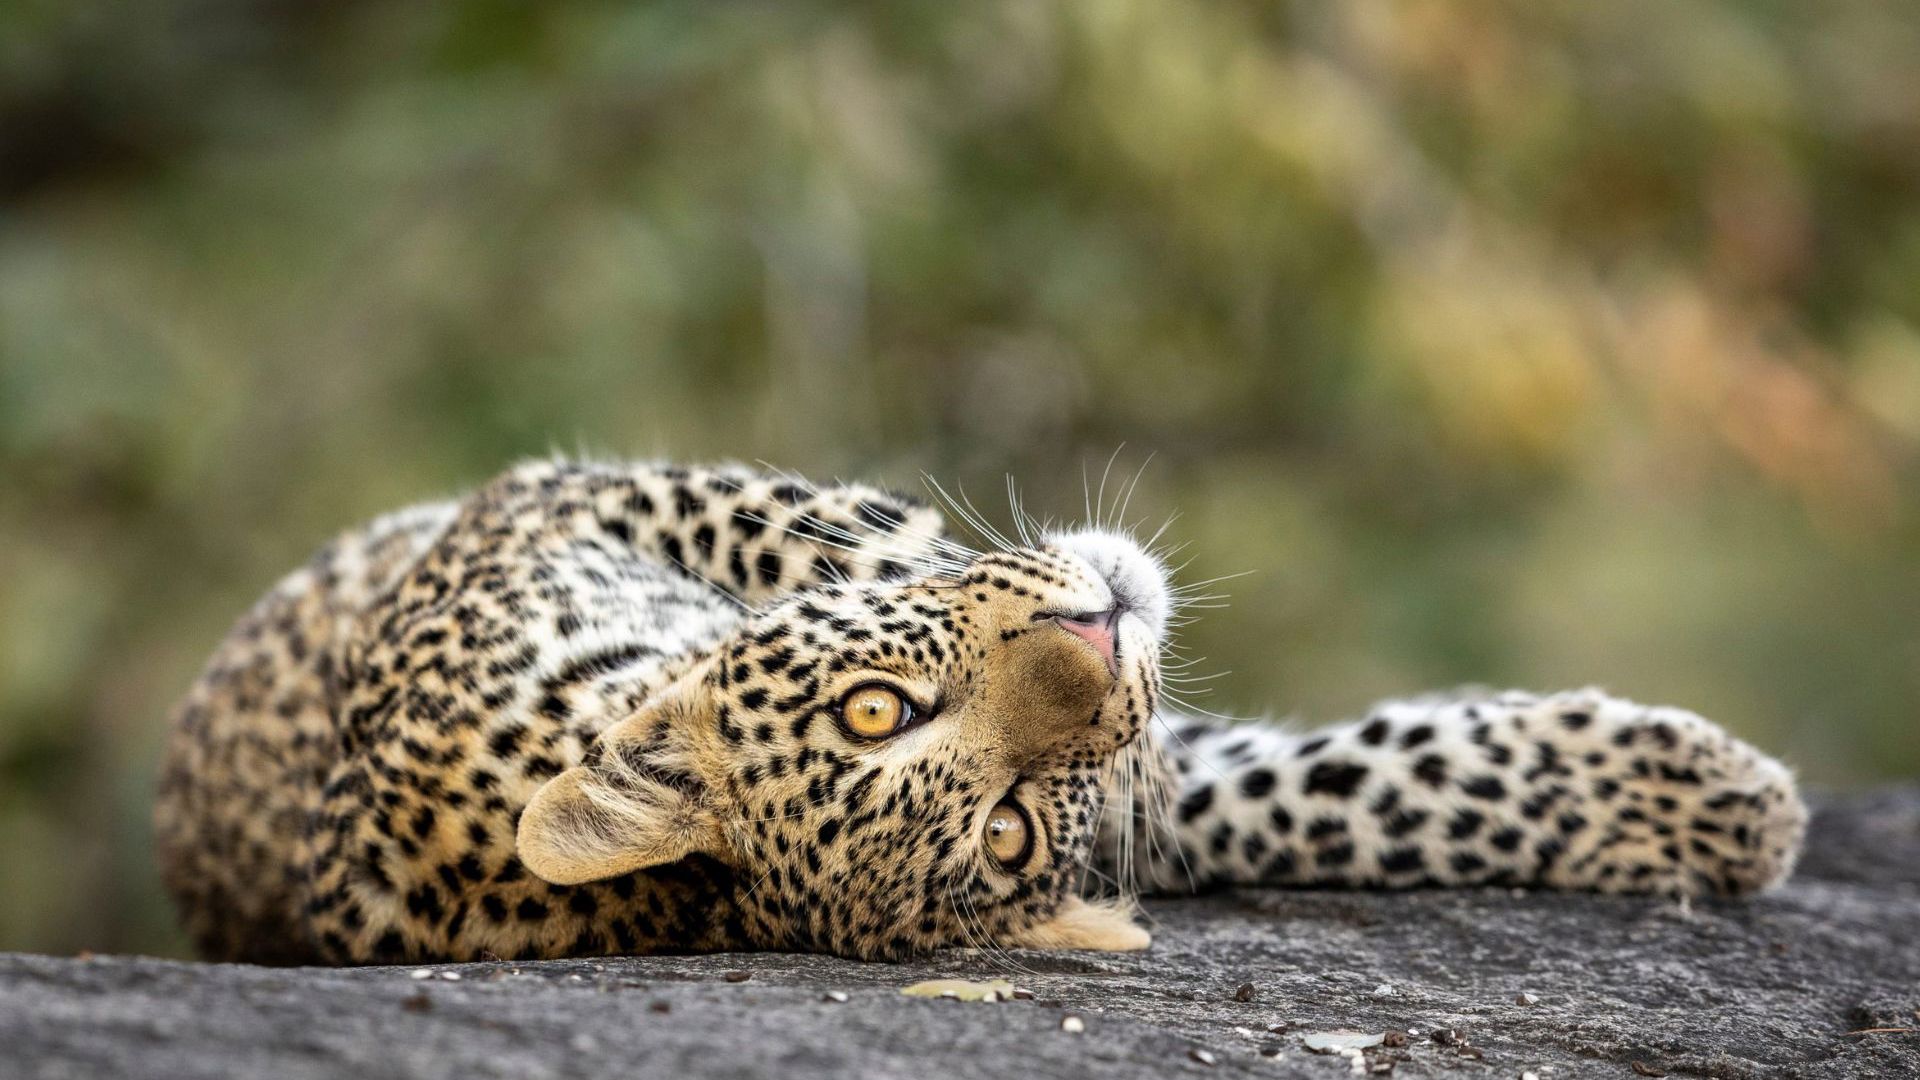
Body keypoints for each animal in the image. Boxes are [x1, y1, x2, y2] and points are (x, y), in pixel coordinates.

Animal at [153, 457, 1807, 965]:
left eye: (876, 708)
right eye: (1003, 836)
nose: (1098, 629)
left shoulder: (567, 499)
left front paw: (1694, 799)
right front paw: (1734, 804)